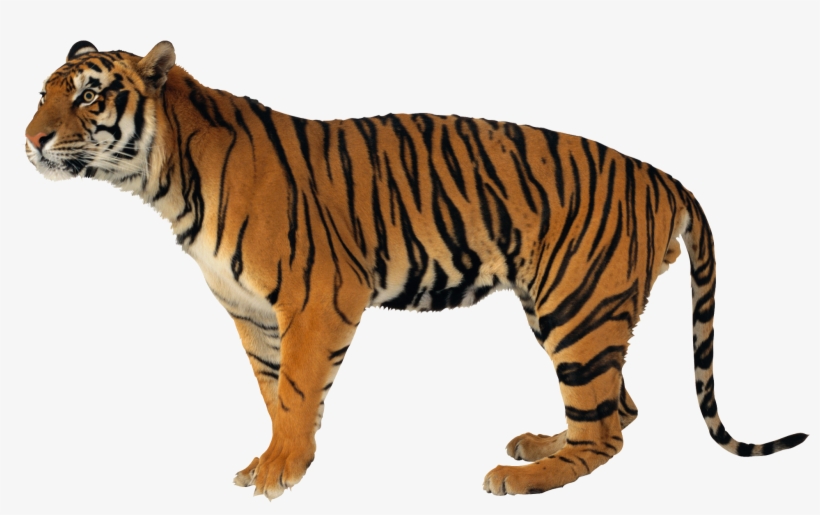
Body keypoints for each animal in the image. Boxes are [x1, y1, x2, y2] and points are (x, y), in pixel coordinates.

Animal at [24, 40, 807, 499]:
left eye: (89, 94)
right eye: (43, 93)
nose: (29, 140)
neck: (164, 179)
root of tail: (662, 174)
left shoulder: (317, 298)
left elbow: (298, 390)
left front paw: (282, 469)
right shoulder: (251, 314)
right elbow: (272, 391)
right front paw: (272, 458)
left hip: (577, 308)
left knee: (606, 430)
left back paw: (522, 475)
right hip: (572, 309)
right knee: (619, 407)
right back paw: (538, 442)